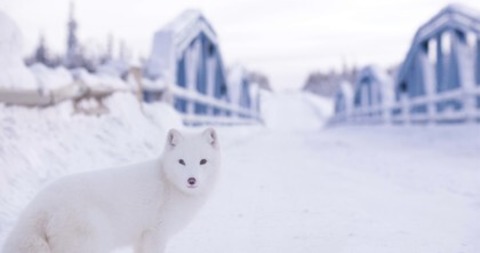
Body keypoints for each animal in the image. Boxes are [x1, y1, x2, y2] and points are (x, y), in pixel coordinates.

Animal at [1, 128, 219, 253]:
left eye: (203, 161)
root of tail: (40, 207)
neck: (169, 184)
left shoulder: (141, 239)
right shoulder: (155, 234)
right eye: (181, 161)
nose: (192, 180)